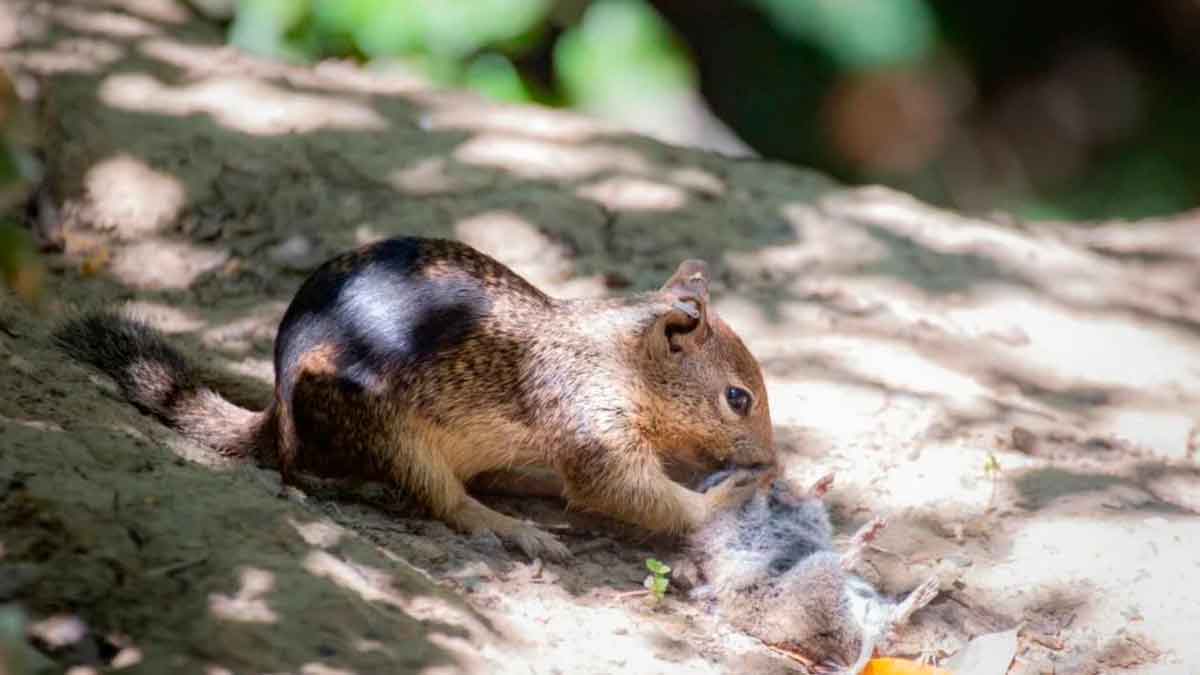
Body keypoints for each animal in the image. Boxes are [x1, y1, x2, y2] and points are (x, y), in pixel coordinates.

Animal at [54, 234, 777, 559]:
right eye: (738, 398)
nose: (773, 462)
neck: (619, 358)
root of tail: (275, 420)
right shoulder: (589, 418)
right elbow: (625, 488)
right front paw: (726, 498)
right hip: (392, 436)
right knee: (446, 502)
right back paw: (514, 527)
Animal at [676, 468, 936, 672]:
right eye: (721, 476)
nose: (773, 479)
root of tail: (864, 633)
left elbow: (810, 509)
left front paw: (819, 484)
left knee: (890, 622)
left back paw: (923, 591)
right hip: (817, 573)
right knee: (842, 566)